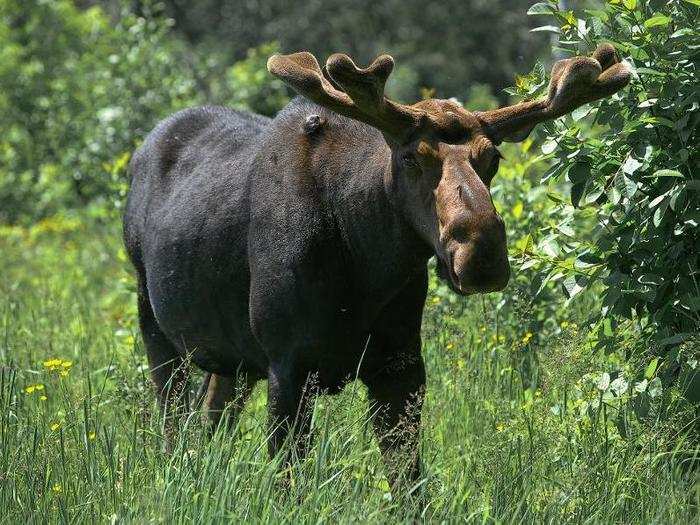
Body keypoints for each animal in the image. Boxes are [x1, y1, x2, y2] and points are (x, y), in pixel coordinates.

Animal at [123, 43, 632, 486]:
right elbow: (289, 483)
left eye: (492, 157)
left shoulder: (400, 364)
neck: (364, 268)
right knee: (173, 422)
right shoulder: (288, 365)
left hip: (232, 355)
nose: (481, 254)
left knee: (209, 416)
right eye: (410, 157)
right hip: (155, 321)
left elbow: (409, 486)